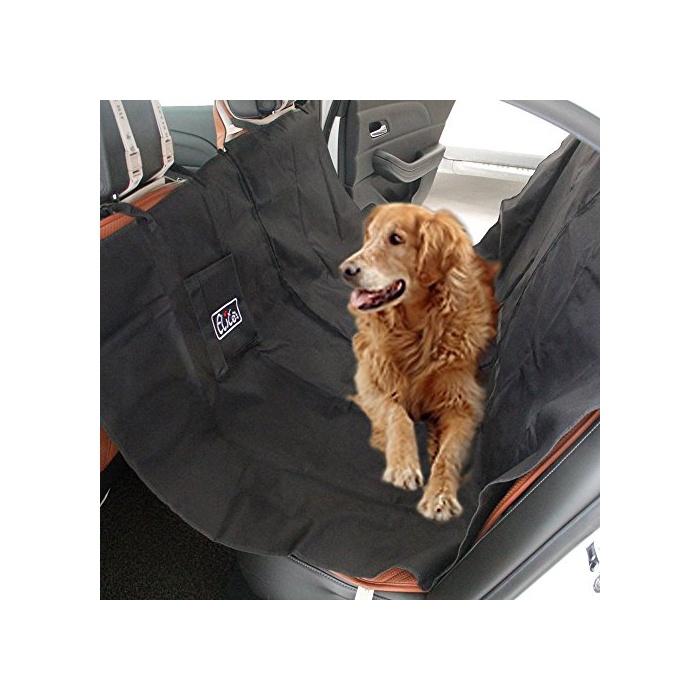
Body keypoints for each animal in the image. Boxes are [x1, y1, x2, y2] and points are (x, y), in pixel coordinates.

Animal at [340, 203, 499, 521]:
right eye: (370, 236)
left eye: (396, 239)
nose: (346, 270)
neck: (417, 330)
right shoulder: (371, 380)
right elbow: (396, 413)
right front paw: (403, 464)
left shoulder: (464, 405)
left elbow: (449, 454)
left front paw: (440, 495)